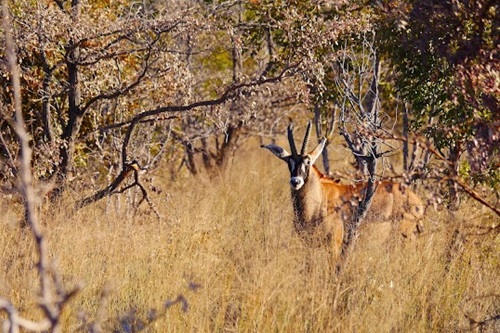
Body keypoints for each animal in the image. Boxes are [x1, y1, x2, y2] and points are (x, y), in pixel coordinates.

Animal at [260, 121, 424, 256]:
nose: (295, 181)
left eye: (308, 161)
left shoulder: (334, 245)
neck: (317, 201)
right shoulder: (309, 245)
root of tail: (417, 201)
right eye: (289, 162)